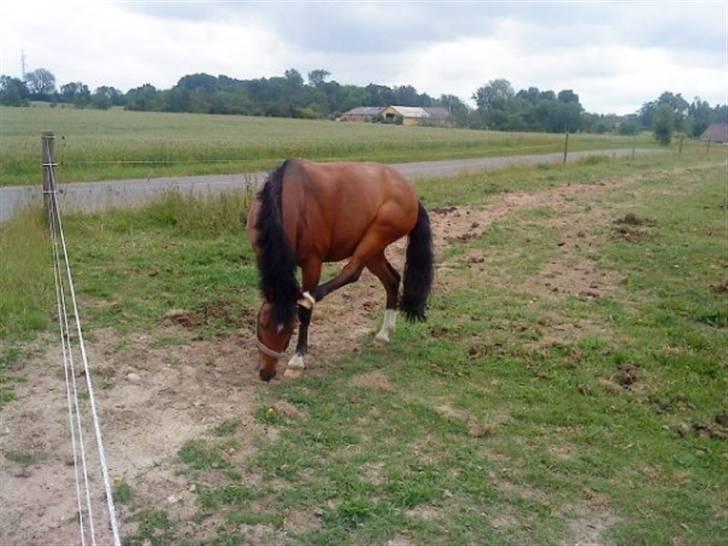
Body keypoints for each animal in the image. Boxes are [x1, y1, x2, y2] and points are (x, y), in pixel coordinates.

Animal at [246, 159, 433, 381]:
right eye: (262, 324)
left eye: (291, 328)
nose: (266, 373)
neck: (290, 195)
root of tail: (410, 192)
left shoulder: (312, 263)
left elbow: (305, 313)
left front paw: (297, 361)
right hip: (375, 251)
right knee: (392, 279)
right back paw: (384, 334)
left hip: (376, 236)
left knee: (352, 271)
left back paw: (311, 298)